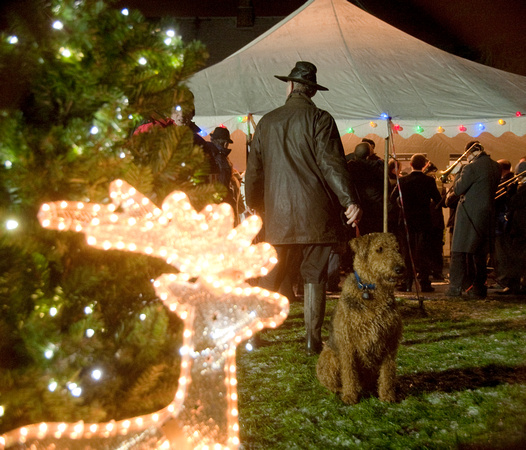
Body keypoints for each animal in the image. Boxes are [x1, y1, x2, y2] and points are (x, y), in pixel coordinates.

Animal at [316, 232, 406, 404]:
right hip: (330, 356)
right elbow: (349, 373)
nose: (400, 269)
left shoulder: (390, 342)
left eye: (397, 248)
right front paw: (350, 396)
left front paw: (387, 396)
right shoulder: (348, 344)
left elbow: (387, 374)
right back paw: (343, 391)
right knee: (331, 382)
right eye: (379, 249)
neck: (370, 291)